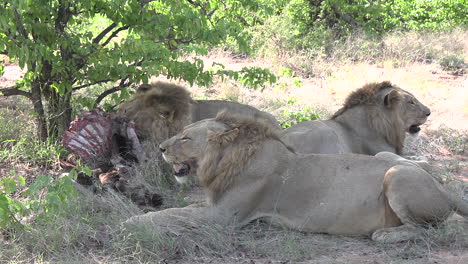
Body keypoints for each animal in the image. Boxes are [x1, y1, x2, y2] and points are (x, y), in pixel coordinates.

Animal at [124, 112, 468, 243]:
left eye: (185, 138)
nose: (161, 148)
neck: (224, 162)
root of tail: (444, 189)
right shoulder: (215, 207)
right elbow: (176, 210)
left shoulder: (223, 218)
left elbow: (171, 216)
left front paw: (131, 222)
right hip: (386, 158)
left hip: (396, 175)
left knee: (436, 227)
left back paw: (385, 234)